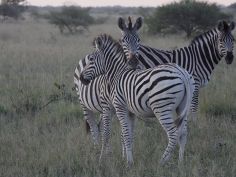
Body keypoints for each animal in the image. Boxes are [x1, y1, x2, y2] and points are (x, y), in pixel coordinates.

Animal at [79, 34, 194, 165]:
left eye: (91, 59)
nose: (81, 78)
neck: (117, 74)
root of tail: (181, 73)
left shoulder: (120, 107)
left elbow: (124, 133)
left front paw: (128, 162)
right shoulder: (131, 112)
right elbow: (128, 135)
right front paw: (128, 158)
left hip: (161, 108)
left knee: (173, 134)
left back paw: (162, 161)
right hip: (182, 107)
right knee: (183, 133)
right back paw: (180, 162)